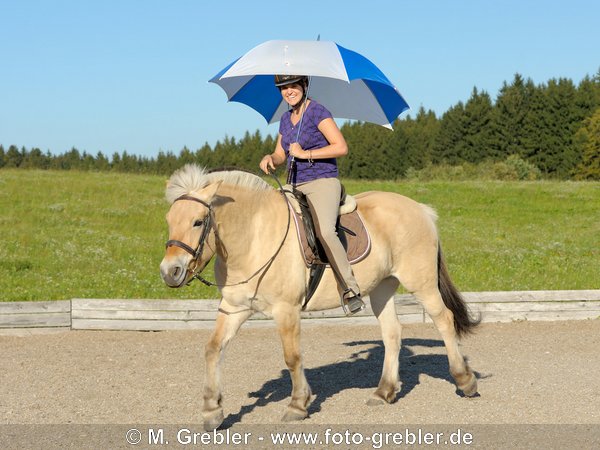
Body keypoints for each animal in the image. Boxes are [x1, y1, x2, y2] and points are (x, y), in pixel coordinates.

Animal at [158, 164, 478, 428]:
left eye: (198, 222)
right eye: (169, 219)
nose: (169, 271)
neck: (253, 237)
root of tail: (420, 208)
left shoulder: (286, 310)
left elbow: (292, 357)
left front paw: (298, 405)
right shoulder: (234, 308)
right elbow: (213, 349)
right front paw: (212, 410)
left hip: (420, 282)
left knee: (444, 320)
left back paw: (465, 381)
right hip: (382, 287)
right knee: (392, 333)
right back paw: (384, 391)